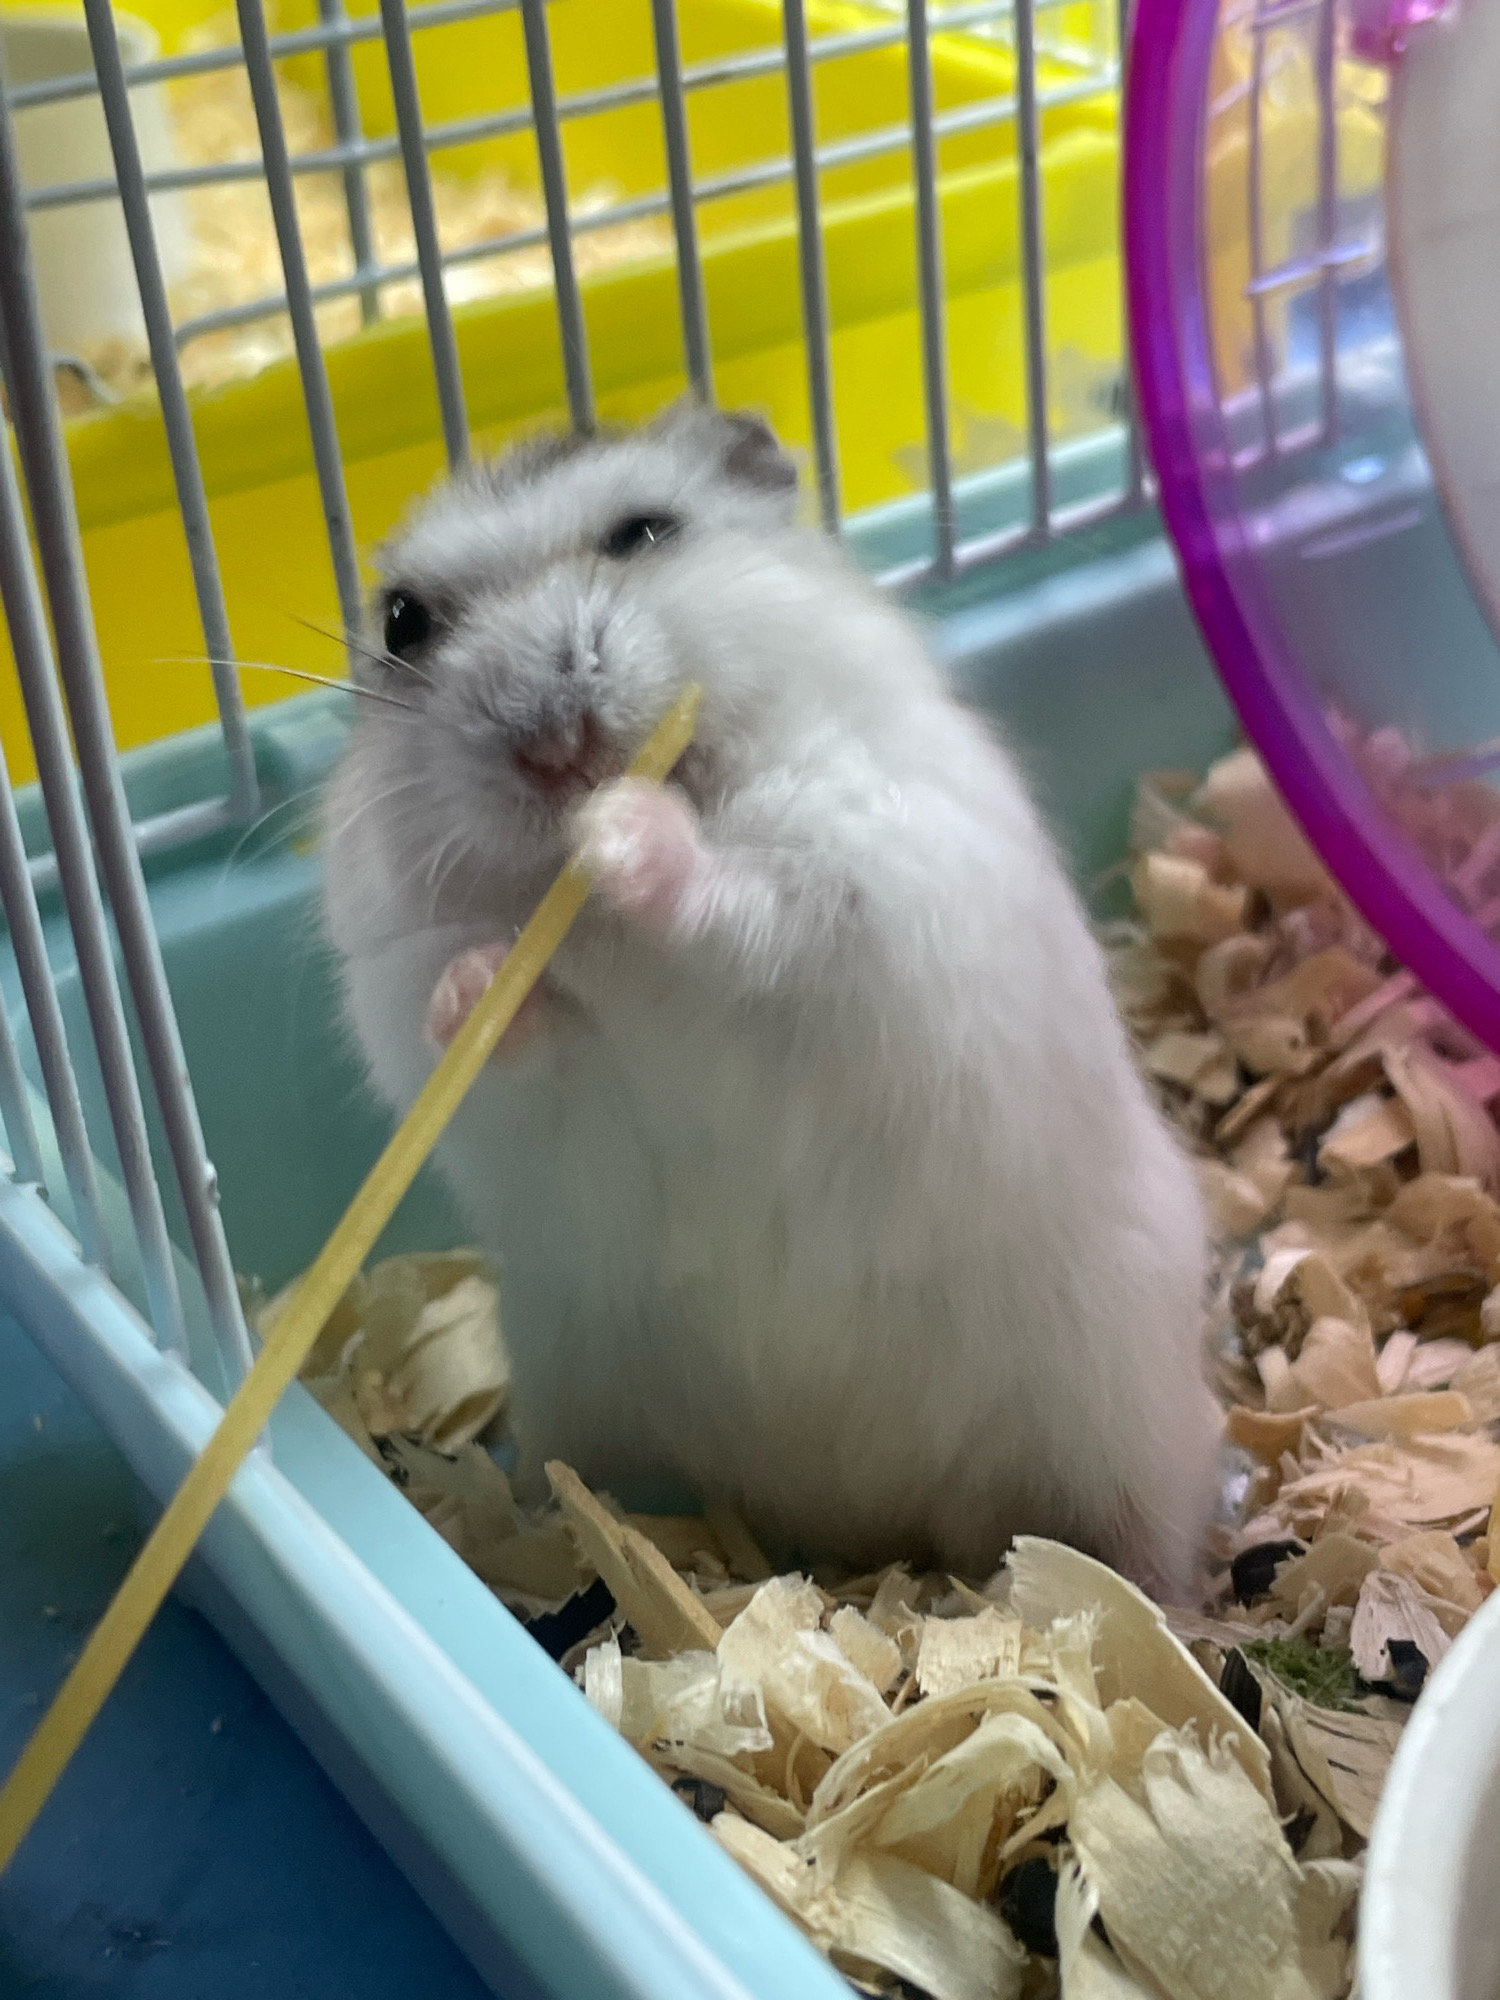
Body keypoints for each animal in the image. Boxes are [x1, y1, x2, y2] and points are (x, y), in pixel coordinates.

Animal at [321, 400, 1221, 1600]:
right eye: (405, 623)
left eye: (644, 533)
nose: (550, 749)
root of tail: (854, 1525)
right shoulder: (406, 983)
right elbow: (485, 1018)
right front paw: (485, 981)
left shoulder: (859, 887)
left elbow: (742, 902)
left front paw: (619, 832)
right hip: (581, 1393)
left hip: (1112, 1413)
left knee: (1129, 1550)